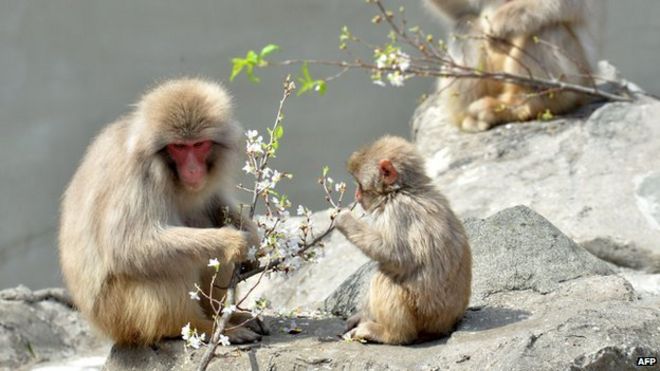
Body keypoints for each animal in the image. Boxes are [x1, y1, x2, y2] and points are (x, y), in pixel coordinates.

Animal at [59, 77, 266, 346]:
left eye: (198, 145)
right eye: (178, 147)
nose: (192, 170)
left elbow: (213, 203)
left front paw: (254, 239)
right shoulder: (139, 175)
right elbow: (128, 245)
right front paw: (233, 241)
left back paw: (222, 316)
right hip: (120, 312)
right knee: (168, 263)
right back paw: (202, 327)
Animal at [338, 137, 472, 346]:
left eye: (360, 185)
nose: (356, 196)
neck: (403, 190)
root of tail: (445, 326)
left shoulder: (397, 211)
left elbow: (396, 257)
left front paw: (344, 220)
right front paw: (360, 316)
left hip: (424, 313)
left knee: (386, 276)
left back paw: (389, 334)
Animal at [422, 0, 604, 133]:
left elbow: (573, 3)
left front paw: (502, 24)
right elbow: (461, 9)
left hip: (578, 79)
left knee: (546, 27)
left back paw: (521, 106)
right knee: (466, 24)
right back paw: (469, 118)